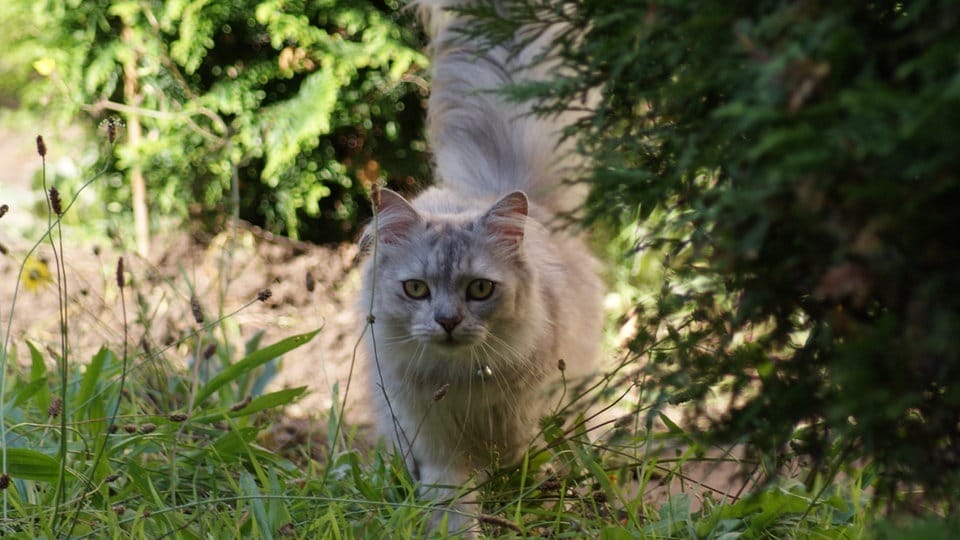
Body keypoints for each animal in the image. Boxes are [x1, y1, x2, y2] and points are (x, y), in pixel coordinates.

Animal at [356, 0, 604, 532]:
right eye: (416, 290)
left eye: (480, 290)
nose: (447, 322)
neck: (459, 381)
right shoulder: (435, 445)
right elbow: (451, 503)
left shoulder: (523, 420)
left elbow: (515, 465)